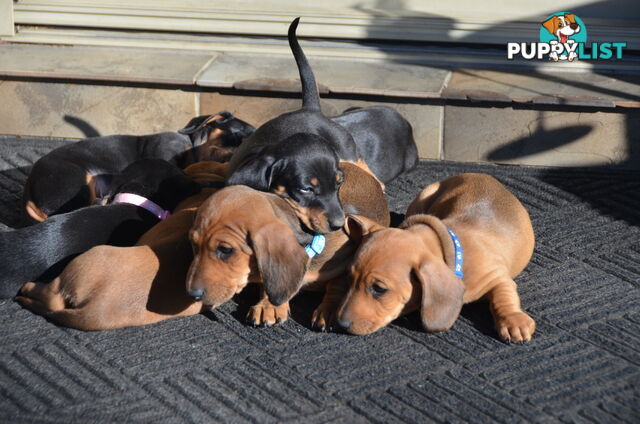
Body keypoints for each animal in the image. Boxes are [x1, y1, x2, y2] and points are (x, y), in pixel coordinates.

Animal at [182, 161, 388, 326]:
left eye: (225, 250)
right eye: (193, 243)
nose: (192, 295)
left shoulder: (347, 260)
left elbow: (337, 284)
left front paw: (328, 310)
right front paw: (269, 305)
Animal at [324, 174, 536, 342]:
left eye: (379, 289)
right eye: (349, 278)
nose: (340, 323)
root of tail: (481, 174)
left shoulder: (497, 277)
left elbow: (503, 296)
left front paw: (513, 320)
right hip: (423, 196)